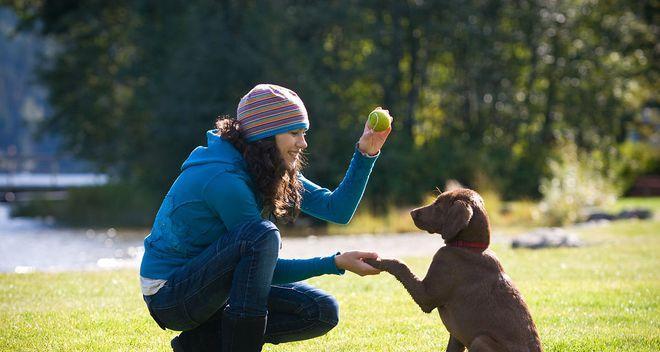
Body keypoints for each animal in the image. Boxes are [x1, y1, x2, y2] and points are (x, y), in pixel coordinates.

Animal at [366, 188, 540, 350]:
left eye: (438, 204)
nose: (412, 212)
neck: (469, 247)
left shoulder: (426, 296)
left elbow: (400, 265)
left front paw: (374, 260)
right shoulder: (456, 336)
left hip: (480, 340)